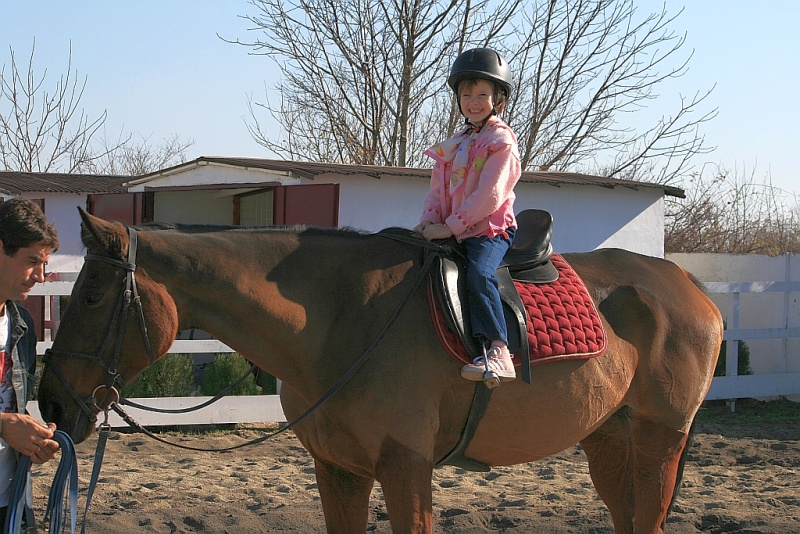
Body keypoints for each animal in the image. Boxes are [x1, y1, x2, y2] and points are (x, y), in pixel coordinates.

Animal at [37, 211, 724, 532]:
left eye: (91, 296)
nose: (51, 405)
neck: (341, 320)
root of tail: (686, 282)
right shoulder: (337, 469)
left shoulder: (405, 467)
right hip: (609, 436)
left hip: (660, 437)